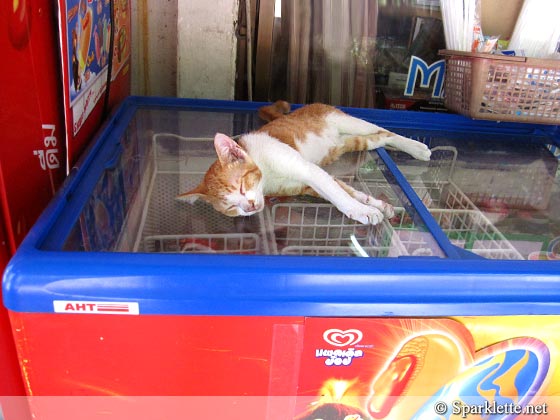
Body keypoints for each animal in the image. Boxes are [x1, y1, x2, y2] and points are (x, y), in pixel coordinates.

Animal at [177, 100, 430, 225]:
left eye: (241, 186)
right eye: (230, 208)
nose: (248, 208)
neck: (267, 174)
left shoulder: (308, 169)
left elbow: (338, 194)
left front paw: (362, 211)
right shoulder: (307, 184)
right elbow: (343, 189)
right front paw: (375, 205)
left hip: (349, 123)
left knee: (385, 130)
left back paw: (417, 148)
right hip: (350, 142)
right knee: (380, 138)